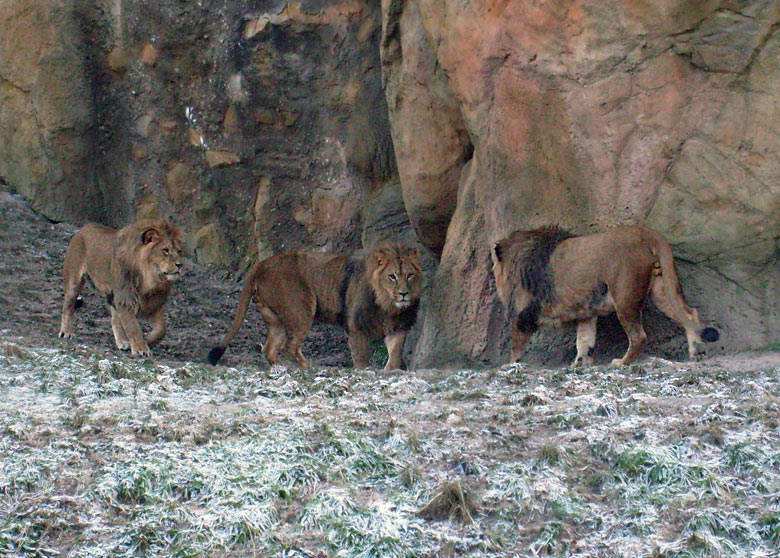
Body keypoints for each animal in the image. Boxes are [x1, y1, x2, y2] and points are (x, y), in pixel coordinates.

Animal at [58, 220, 183, 358]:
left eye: (179, 251)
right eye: (165, 250)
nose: (180, 265)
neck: (150, 279)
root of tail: (83, 228)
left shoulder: (152, 303)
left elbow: (162, 329)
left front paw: (148, 341)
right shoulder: (125, 298)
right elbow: (133, 327)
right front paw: (140, 349)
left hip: (113, 295)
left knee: (115, 320)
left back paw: (122, 342)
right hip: (74, 281)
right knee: (67, 307)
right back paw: (65, 332)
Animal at [207, 243, 424, 370]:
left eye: (410, 275)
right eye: (392, 276)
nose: (404, 293)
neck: (388, 306)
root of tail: (262, 264)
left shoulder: (399, 328)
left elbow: (395, 355)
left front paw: (390, 372)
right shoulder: (356, 327)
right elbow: (362, 358)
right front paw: (365, 373)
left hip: (274, 317)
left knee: (270, 348)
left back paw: (281, 369)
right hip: (302, 309)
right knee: (290, 347)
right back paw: (309, 368)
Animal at [490, 225, 724, 370]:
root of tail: (646, 232)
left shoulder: (520, 312)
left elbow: (517, 345)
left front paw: (508, 365)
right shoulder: (586, 313)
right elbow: (584, 341)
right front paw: (579, 364)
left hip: (625, 296)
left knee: (639, 336)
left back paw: (622, 362)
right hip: (661, 290)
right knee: (689, 313)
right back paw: (697, 352)